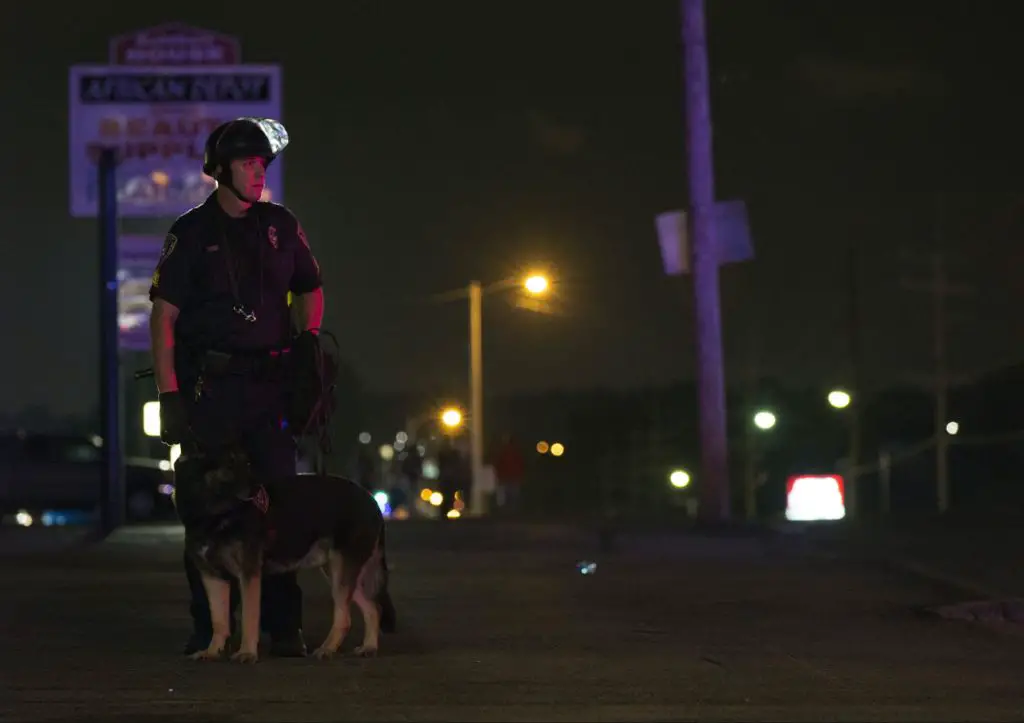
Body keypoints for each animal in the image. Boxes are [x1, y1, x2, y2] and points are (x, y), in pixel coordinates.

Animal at [172, 448, 395, 663]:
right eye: (229, 464)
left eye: (246, 463)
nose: (259, 491)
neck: (212, 516)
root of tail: (372, 500)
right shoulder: (213, 578)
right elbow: (218, 621)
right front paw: (212, 651)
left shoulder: (249, 575)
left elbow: (249, 618)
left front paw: (247, 653)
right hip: (339, 573)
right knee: (373, 609)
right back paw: (369, 647)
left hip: (342, 573)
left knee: (345, 618)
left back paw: (327, 649)